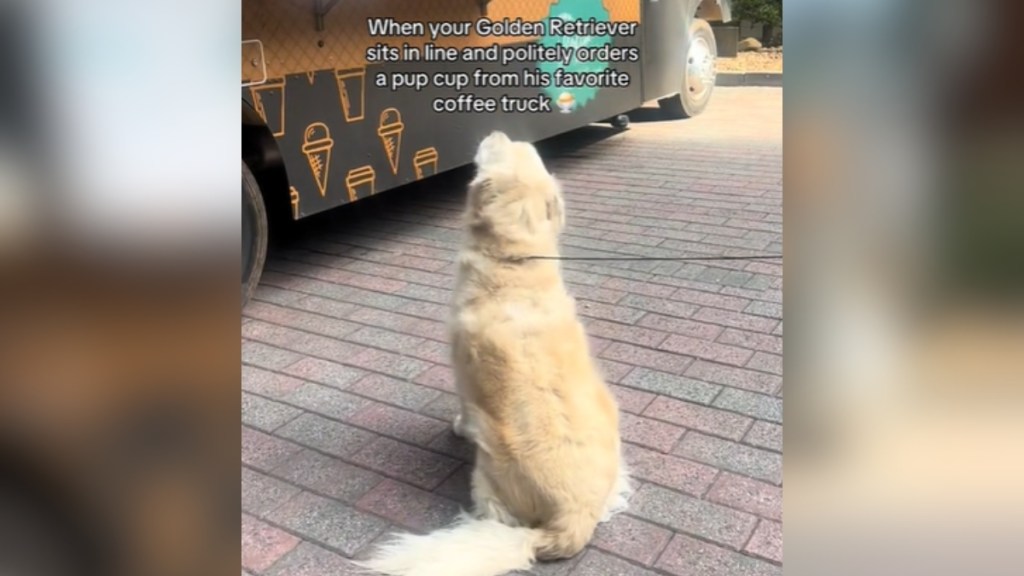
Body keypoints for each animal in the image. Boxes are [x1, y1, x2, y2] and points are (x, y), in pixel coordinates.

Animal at [358, 131, 630, 573]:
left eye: (500, 151)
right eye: (528, 151)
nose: (500, 132)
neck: (515, 261)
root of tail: (576, 520)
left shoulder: (462, 370)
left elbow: (463, 408)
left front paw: (456, 426)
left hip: (487, 476)